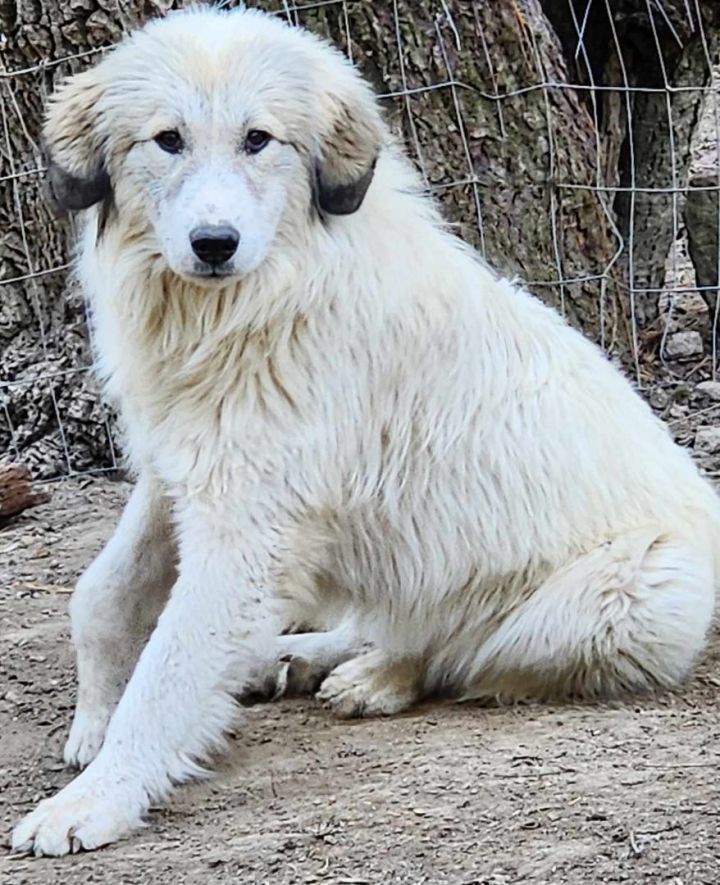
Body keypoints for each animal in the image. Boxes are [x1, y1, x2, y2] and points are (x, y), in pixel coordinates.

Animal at [11, 3, 720, 852]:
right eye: (168, 139)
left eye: (259, 140)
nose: (214, 244)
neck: (246, 304)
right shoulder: (178, 467)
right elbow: (102, 592)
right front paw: (93, 719)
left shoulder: (246, 526)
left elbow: (170, 669)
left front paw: (95, 798)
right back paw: (291, 656)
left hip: (637, 587)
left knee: (462, 648)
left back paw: (374, 675)